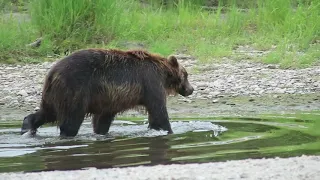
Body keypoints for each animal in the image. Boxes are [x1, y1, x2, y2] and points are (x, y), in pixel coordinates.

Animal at [21, 47, 195, 136]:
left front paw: (101, 132)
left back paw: (27, 127)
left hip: (54, 93)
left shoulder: (109, 98)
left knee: (47, 112)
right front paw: (169, 130)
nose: (191, 89)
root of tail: (52, 72)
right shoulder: (150, 82)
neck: (164, 74)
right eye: (186, 75)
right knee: (71, 119)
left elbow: (102, 119)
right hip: (74, 88)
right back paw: (66, 134)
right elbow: (158, 111)